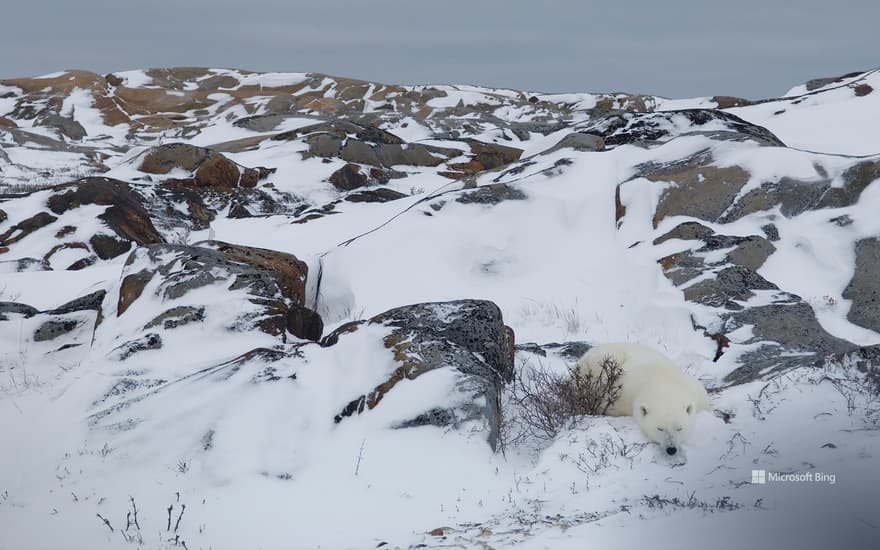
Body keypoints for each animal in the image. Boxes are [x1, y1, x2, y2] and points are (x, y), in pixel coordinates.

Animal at [576, 344, 716, 458]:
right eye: (660, 428)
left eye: (679, 428)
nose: (671, 449)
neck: (664, 382)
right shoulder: (621, 396)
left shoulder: (697, 392)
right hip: (599, 364)